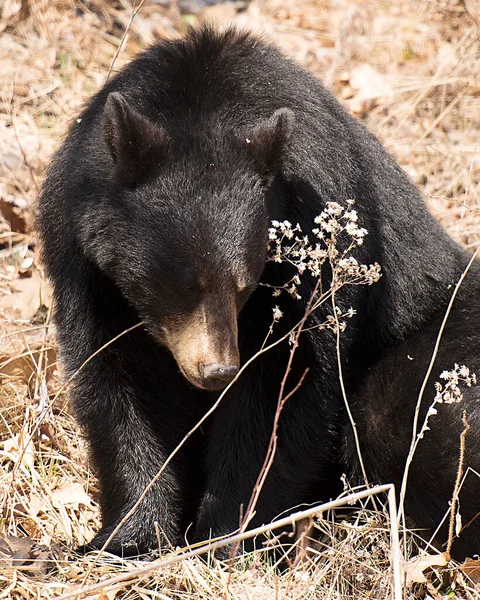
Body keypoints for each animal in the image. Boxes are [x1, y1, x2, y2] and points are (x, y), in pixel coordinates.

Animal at [38, 23, 480, 556]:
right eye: (179, 284)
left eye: (243, 285)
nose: (216, 371)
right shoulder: (88, 271)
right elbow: (116, 384)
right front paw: (126, 539)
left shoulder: (313, 244)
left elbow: (282, 389)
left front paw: (223, 534)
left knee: (406, 415)